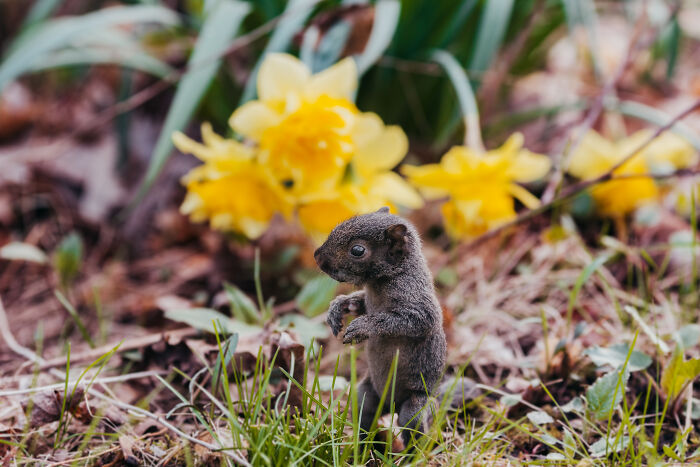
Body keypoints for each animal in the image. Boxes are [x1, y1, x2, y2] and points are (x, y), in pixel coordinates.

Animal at [314, 207, 479, 448]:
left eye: (357, 250)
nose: (317, 257)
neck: (385, 278)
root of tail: (392, 406)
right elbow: (359, 303)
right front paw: (337, 308)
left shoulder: (415, 298)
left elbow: (412, 320)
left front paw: (362, 327)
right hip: (365, 395)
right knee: (365, 415)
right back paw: (363, 448)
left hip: (415, 407)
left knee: (414, 428)